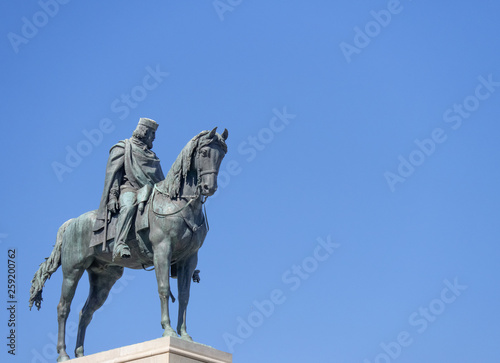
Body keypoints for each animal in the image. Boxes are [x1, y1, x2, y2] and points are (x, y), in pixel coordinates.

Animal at [29, 127, 229, 362]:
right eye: (205, 152)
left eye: (221, 155)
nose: (209, 187)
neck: (176, 203)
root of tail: (71, 223)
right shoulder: (162, 250)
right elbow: (164, 288)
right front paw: (168, 330)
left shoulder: (189, 259)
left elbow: (184, 296)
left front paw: (185, 335)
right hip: (72, 271)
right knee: (63, 308)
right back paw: (63, 354)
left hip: (105, 279)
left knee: (85, 312)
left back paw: (80, 353)